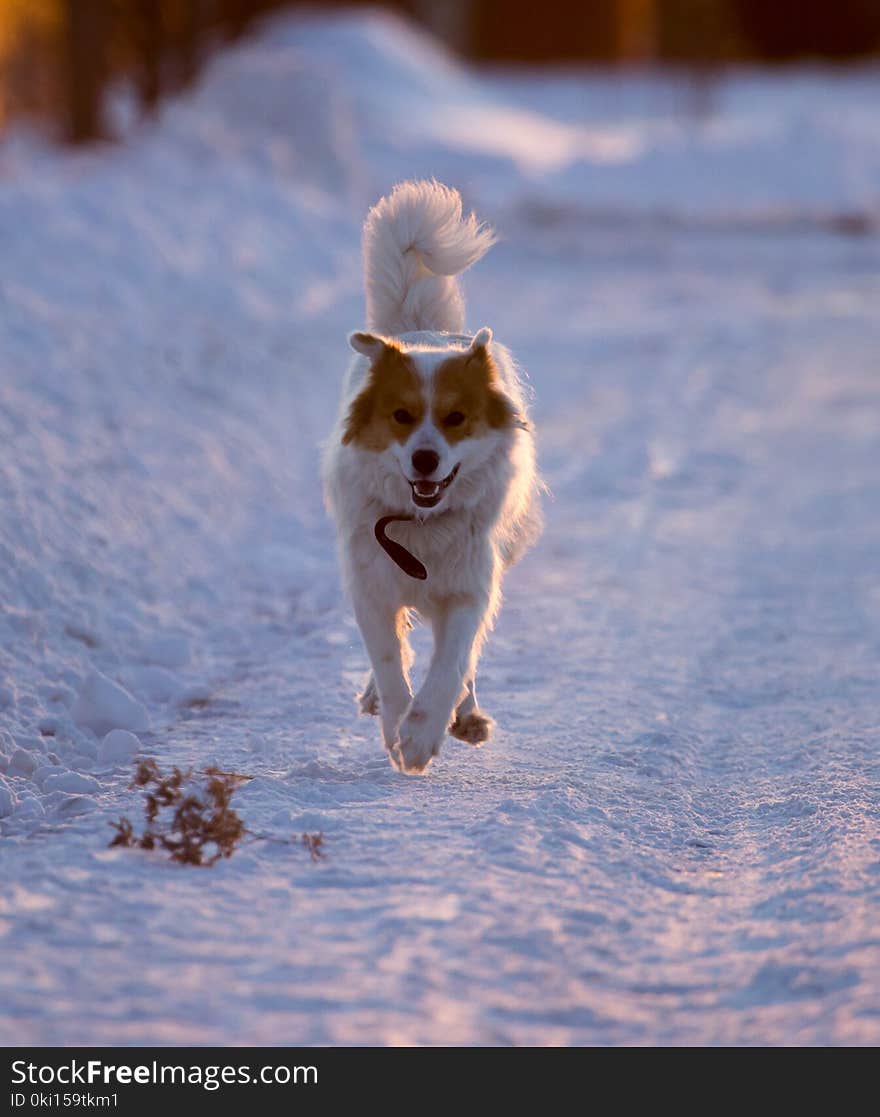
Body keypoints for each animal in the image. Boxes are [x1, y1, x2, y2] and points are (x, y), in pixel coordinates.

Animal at [323, 183, 540, 777]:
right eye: (401, 416)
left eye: (455, 417)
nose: (424, 460)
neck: (421, 522)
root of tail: (423, 330)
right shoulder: (370, 583)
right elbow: (389, 660)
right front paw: (399, 724)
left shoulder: (470, 584)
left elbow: (451, 662)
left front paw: (423, 734)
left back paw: (465, 716)